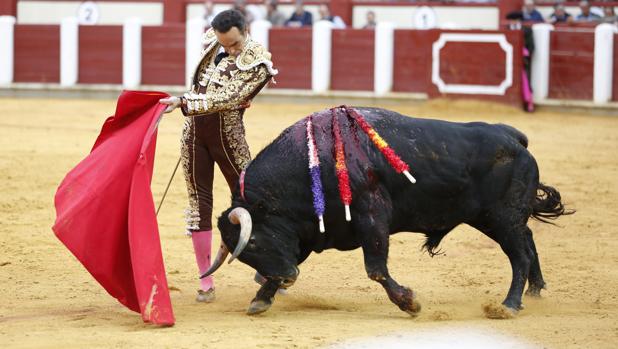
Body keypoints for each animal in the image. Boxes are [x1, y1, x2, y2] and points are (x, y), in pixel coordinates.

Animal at [201, 106, 568, 316]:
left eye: (254, 243)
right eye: (245, 255)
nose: (289, 279)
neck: (311, 163)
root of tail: (514, 137)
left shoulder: (372, 217)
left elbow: (376, 269)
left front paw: (410, 303)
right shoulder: (308, 230)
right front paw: (261, 299)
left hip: (502, 217)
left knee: (519, 254)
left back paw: (509, 305)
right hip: (495, 218)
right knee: (529, 240)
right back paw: (535, 290)